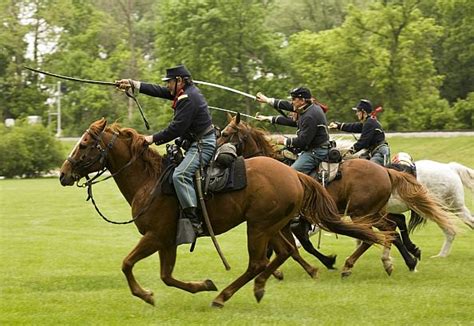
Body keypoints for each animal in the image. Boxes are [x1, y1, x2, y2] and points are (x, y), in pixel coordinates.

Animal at [59, 118, 386, 308]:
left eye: (85, 144)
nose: (63, 174)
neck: (149, 181)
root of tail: (294, 175)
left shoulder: (155, 237)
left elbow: (128, 264)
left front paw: (147, 295)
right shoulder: (166, 241)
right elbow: (167, 276)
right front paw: (201, 285)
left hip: (259, 227)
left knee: (259, 262)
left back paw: (224, 296)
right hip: (269, 226)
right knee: (283, 252)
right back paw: (259, 287)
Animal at [220, 113, 458, 276]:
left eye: (226, 134)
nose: (216, 157)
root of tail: (386, 171)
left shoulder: (293, 223)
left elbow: (300, 247)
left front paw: (327, 262)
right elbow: (291, 247)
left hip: (362, 213)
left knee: (382, 232)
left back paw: (363, 264)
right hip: (371, 213)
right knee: (392, 228)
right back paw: (407, 259)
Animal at [336, 139, 474, 258]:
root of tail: (450, 167)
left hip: (439, 207)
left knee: (450, 230)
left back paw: (440, 255)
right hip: (455, 207)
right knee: (466, 223)